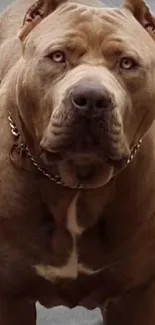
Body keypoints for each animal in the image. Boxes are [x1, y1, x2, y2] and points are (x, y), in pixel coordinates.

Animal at [0, 0, 155, 322]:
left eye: (127, 64)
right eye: (58, 56)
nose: (91, 98)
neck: (75, 185)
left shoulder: (135, 299)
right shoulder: (10, 299)